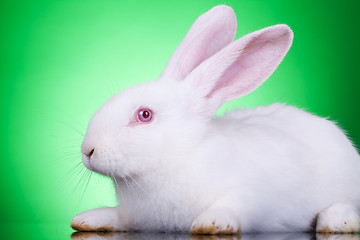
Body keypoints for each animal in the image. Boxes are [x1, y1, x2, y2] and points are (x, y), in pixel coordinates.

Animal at [71, 5, 360, 234]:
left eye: (145, 115)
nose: (88, 151)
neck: (177, 158)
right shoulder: (135, 216)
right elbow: (118, 216)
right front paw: (87, 219)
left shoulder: (253, 195)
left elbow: (233, 204)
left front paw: (210, 223)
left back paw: (338, 223)